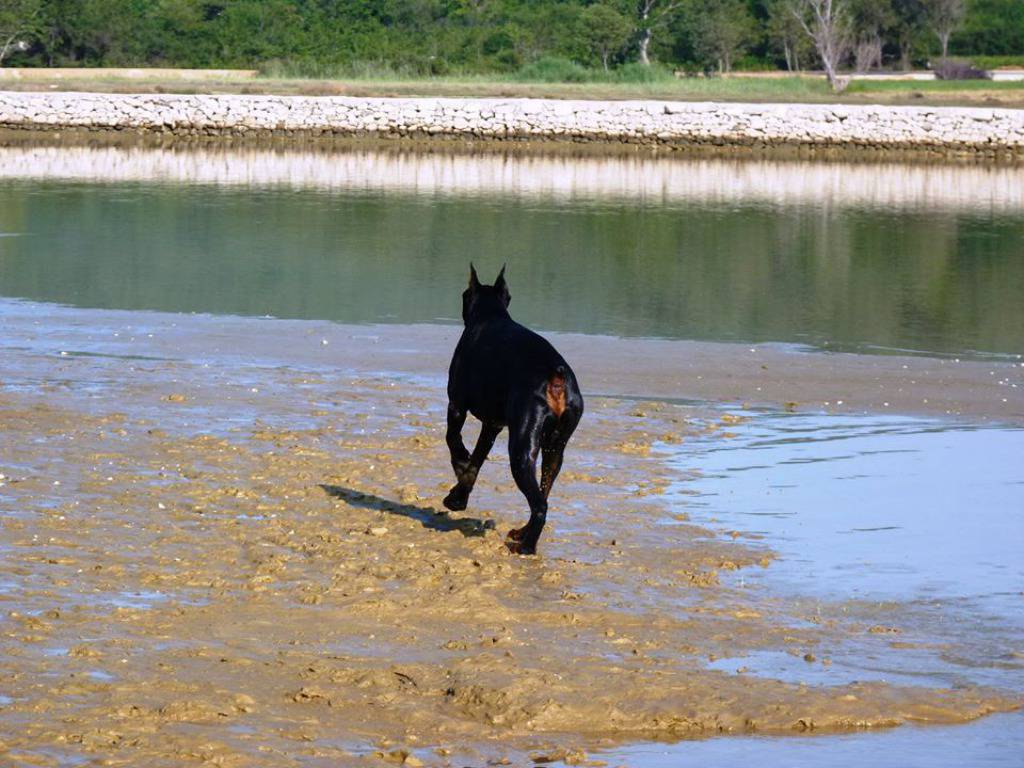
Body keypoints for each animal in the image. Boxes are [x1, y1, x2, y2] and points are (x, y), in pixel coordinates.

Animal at [442, 268, 581, 557]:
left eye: (464, 294)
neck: (490, 314)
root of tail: (557, 377)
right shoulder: (493, 424)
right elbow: (476, 462)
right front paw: (458, 498)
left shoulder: (456, 404)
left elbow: (453, 440)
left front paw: (459, 463)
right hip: (555, 447)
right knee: (545, 490)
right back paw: (521, 533)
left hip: (522, 447)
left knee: (540, 505)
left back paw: (527, 546)